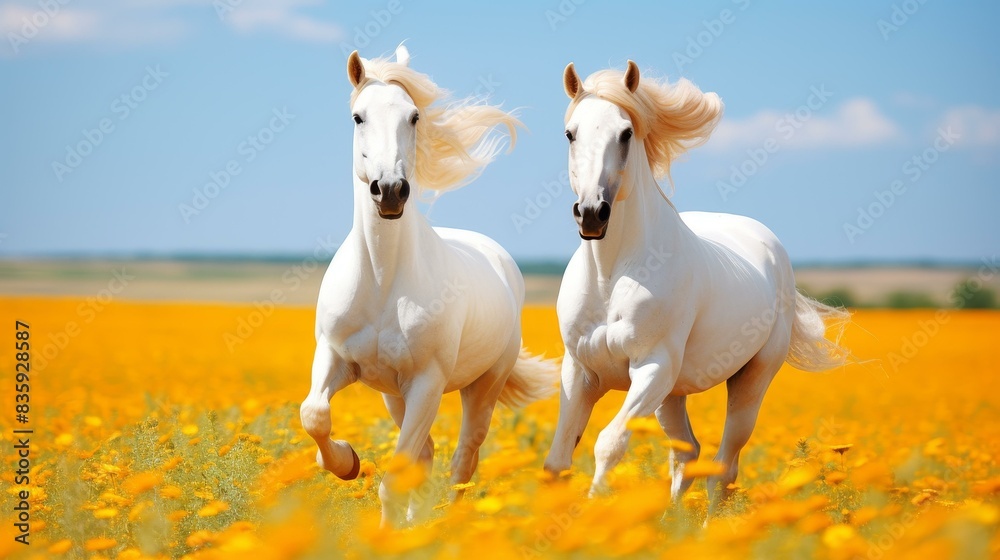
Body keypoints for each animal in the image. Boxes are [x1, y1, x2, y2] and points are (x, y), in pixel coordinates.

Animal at [299, 46, 558, 527]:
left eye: (414, 116)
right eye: (358, 117)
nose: (390, 191)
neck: (383, 280)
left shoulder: (426, 382)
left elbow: (395, 476)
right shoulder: (336, 358)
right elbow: (315, 415)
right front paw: (346, 462)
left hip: (481, 388)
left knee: (463, 458)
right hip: (394, 396)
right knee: (429, 453)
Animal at [542, 60, 849, 513]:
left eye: (626, 133)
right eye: (570, 133)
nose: (592, 214)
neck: (611, 275)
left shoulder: (651, 368)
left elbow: (608, 444)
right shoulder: (580, 373)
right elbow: (558, 461)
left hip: (748, 382)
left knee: (723, 466)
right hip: (672, 395)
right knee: (688, 453)